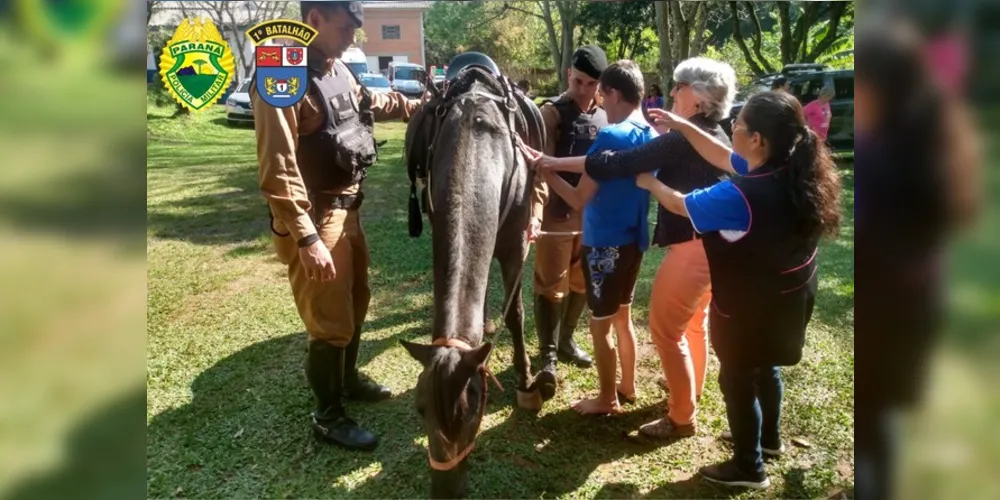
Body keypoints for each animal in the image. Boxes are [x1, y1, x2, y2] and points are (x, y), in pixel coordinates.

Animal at [400, 65, 548, 496]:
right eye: (420, 409)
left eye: (470, 412)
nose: (444, 491)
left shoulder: (516, 245)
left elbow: (515, 314)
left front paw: (526, 381)